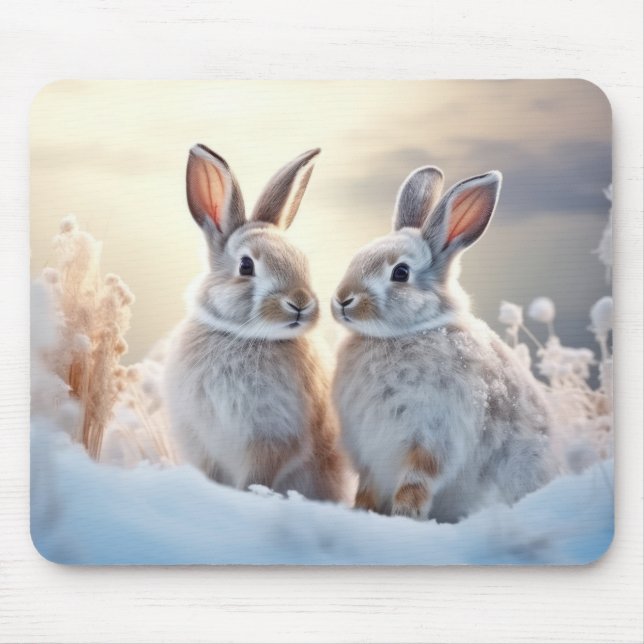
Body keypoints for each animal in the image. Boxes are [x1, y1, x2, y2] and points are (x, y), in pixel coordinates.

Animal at [165, 144, 347, 502]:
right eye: (246, 266)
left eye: (302, 261)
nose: (300, 303)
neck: (242, 335)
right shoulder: (203, 438)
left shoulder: (273, 436)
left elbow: (258, 476)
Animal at [331, 165, 558, 522]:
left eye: (400, 273)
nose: (342, 300)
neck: (405, 332)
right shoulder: (367, 447)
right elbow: (367, 486)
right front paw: (362, 512)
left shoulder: (433, 435)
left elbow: (416, 481)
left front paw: (404, 517)